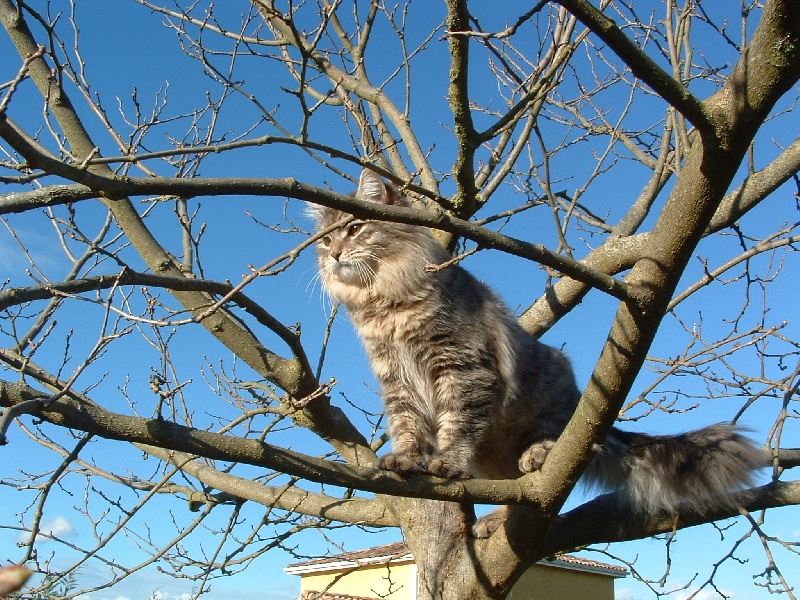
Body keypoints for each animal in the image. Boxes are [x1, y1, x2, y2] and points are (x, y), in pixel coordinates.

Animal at [310, 166, 764, 536]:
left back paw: (538, 457)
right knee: (513, 493)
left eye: (355, 229)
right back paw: (494, 519)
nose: (333, 254)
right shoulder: (397, 380)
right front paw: (404, 459)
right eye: (326, 239)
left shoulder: (462, 366)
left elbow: (456, 424)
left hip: (554, 408)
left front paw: (447, 461)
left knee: (544, 461)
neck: (383, 303)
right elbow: (407, 427)